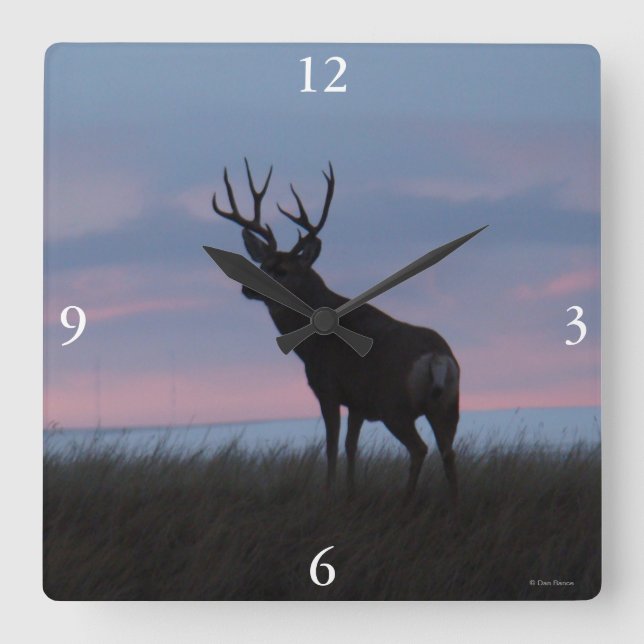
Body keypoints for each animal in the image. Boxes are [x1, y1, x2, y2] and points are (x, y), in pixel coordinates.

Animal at [207, 160, 461, 505]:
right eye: (261, 265)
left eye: (281, 270)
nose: (248, 288)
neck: (311, 345)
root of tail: (437, 358)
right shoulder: (357, 401)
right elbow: (351, 447)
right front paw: (352, 492)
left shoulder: (327, 388)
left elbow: (330, 446)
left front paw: (329, 492)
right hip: (448, 406)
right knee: (449, 454)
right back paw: (456, 501)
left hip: (394, 405)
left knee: (419, 449)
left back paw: (407, 499)